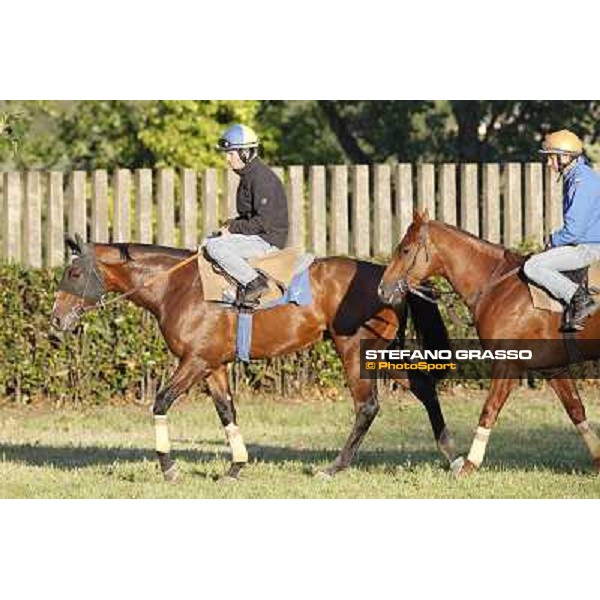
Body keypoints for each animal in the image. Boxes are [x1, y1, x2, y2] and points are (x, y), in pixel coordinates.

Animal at [51, 236, 458, 482]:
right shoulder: (213, 366)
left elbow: (161, 402)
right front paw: (236, 466)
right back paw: (451, 456)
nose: (56, 319)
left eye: (74, 272)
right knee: (423, 387)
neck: (177, 286)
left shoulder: (194, 362)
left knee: (367, 406)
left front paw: (168, 467)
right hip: (383, 352)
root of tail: (389, 278)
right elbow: (227, 412)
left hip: (356, 351)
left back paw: (335, 467)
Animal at [380, 213, 600, 476]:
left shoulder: (507, 365)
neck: (498, 286)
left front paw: (469, 465)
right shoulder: (554, 368)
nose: (382, 289)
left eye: (405, 250)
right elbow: (576, 409)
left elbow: (489, 410)